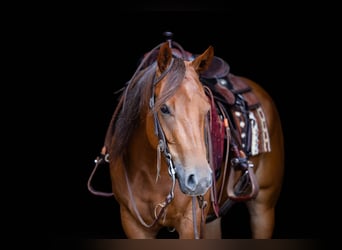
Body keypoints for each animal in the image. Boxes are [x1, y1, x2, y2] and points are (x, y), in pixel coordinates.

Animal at [88, 38, 284, 238]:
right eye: (164, 108)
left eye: (206, 109)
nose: (200, 179)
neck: (149, 171)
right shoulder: (132, 223)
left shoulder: (191, 221)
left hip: (263, 207)